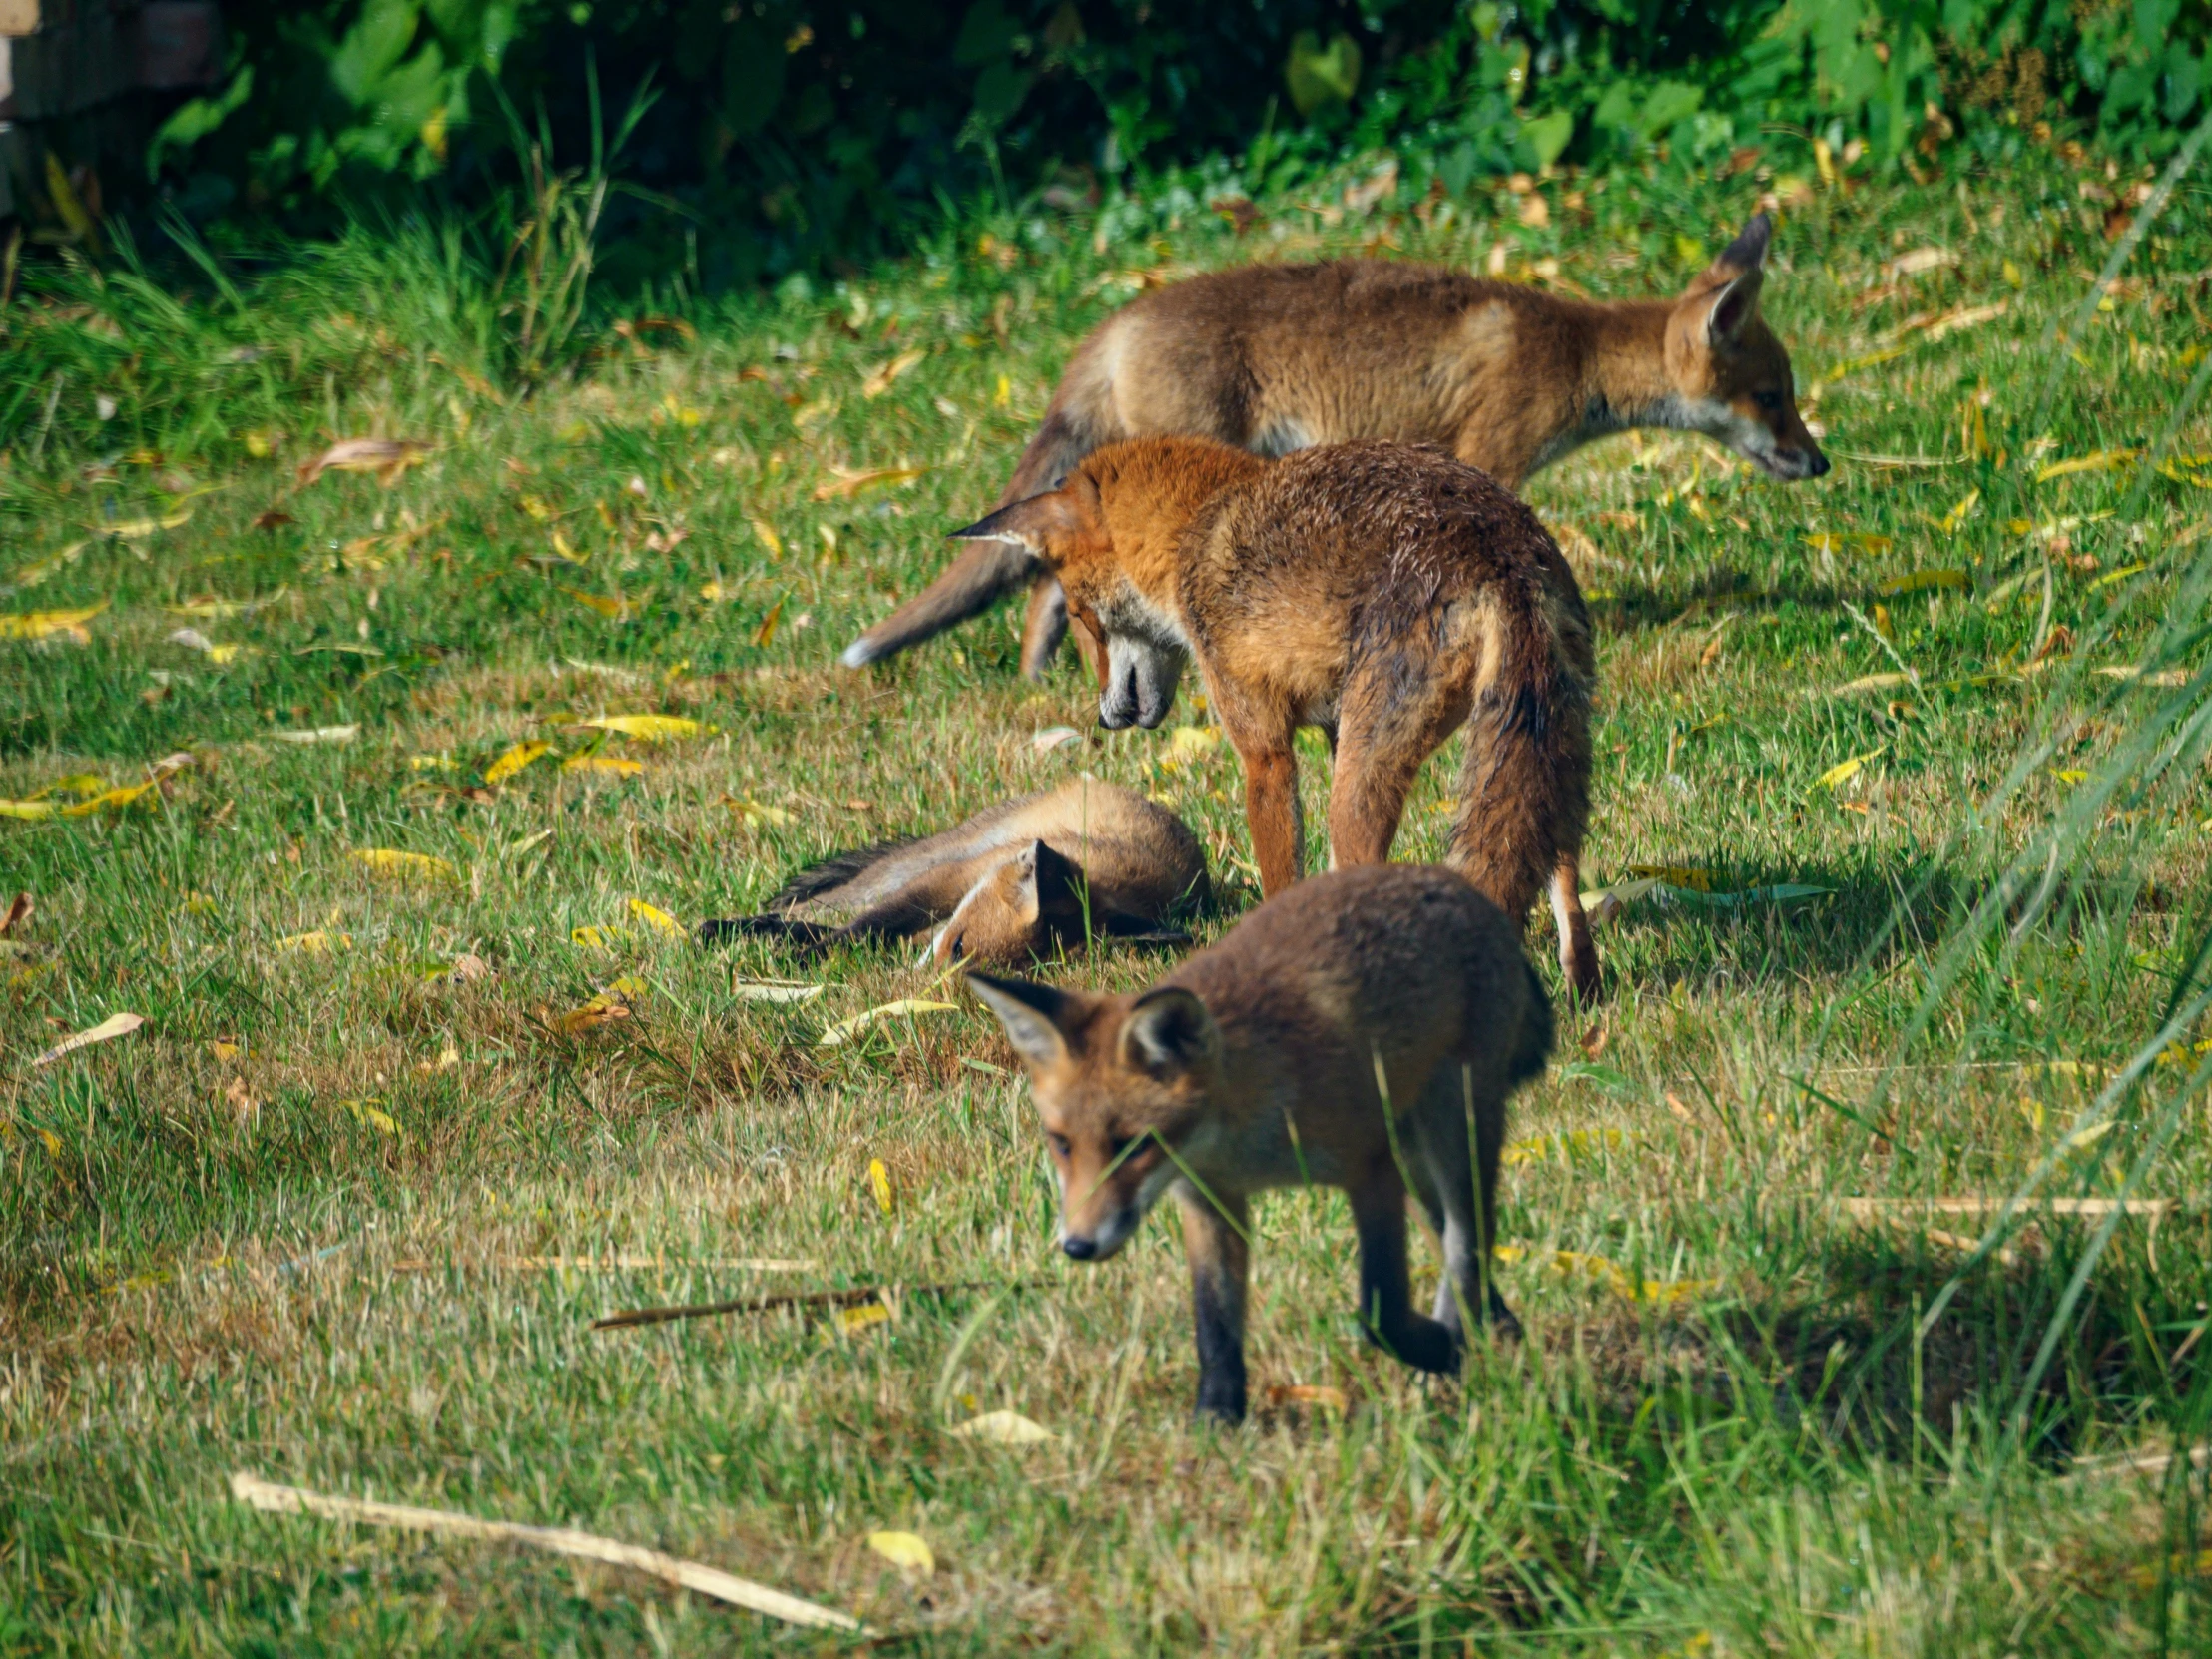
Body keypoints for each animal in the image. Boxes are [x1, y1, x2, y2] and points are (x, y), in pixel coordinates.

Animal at [694, 783, 1203, 973]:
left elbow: (869, 935)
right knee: (824, 908)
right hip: (924, 862)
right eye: (958, 947)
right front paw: (802, 962)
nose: (920, 990)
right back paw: (733, 929)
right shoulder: (949, 880)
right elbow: (861, 931)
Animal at [835, 211, 1822, 677]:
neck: (1569, 352)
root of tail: (1113, 323)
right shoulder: (1490, 451)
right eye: (1773, 399)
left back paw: (1047, 677)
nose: (1820, 462)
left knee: (1046, 582)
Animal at [942, 437, 1601, 999]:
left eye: (1081, 615)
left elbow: (1281, 875)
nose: (1105, 719)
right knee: (1564, 877)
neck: (1194, 528)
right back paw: (1582, 990)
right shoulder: (1333, 732)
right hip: (1547, 753)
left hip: (1360, 787)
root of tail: (1497, 550)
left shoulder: (1265, 754)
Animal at [968, 862, 1557, 1424]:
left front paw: (1437, 1349)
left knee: (1468, 1235)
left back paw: (1459, 1344)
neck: (1238, 1139)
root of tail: (1458, 885)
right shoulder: (1208, 1201)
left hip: (1453, 1128)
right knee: (1450, 1235)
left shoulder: (1370, 1168)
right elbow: (1215, 1326)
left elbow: (1377, 1310)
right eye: (1062, 1143)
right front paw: (1216, 1420)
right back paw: (1496, 1325)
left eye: (1134, 1145)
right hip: (1416, 1158)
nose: (1077, 1247)